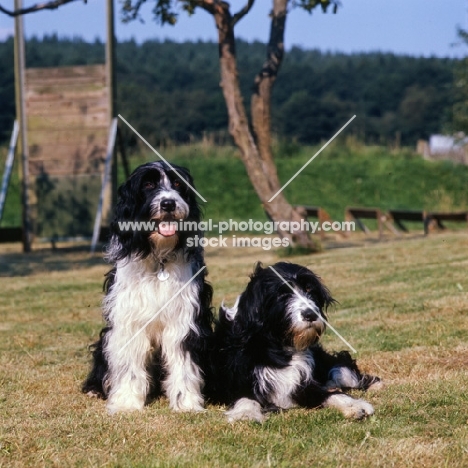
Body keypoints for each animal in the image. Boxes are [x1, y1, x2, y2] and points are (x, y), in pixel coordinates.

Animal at [81, 161, 213, 414]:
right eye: (149, 184)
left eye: (178, 183)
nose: (168, 203)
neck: (158, 257)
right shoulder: (128, 321)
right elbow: (129, 364)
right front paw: (126, 402)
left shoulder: (184, 320)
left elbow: (183, 363)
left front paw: (186, 402)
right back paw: (94, 389)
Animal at [211, 262, 380, 422]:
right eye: (282, 294)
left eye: (309, 290)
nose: (310, 314)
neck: (278, 344)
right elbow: (246, 397)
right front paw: (246, 413)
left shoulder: (300, 382)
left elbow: (331, 394)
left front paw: (354, 404)